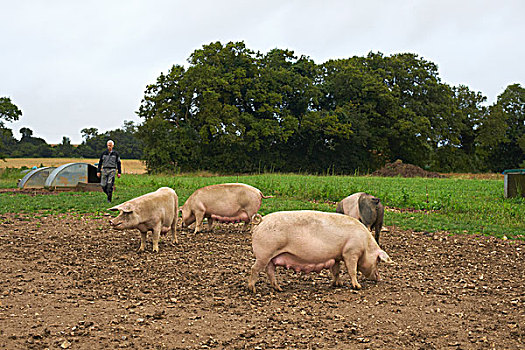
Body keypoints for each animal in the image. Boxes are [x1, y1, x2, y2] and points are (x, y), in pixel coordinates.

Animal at [248, 211, 390, 292]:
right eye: (378, 261)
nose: (380, 278)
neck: (365, 245)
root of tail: (262, 220)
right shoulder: (350, 252)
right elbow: (352, 270)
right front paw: (357, 287)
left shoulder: (336, 256)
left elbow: (336, 271)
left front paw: (337, 284)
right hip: (264, 254)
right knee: (254, 269)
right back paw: (252, 289)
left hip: (270, 256)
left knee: (270, 271)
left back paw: (279, 289)